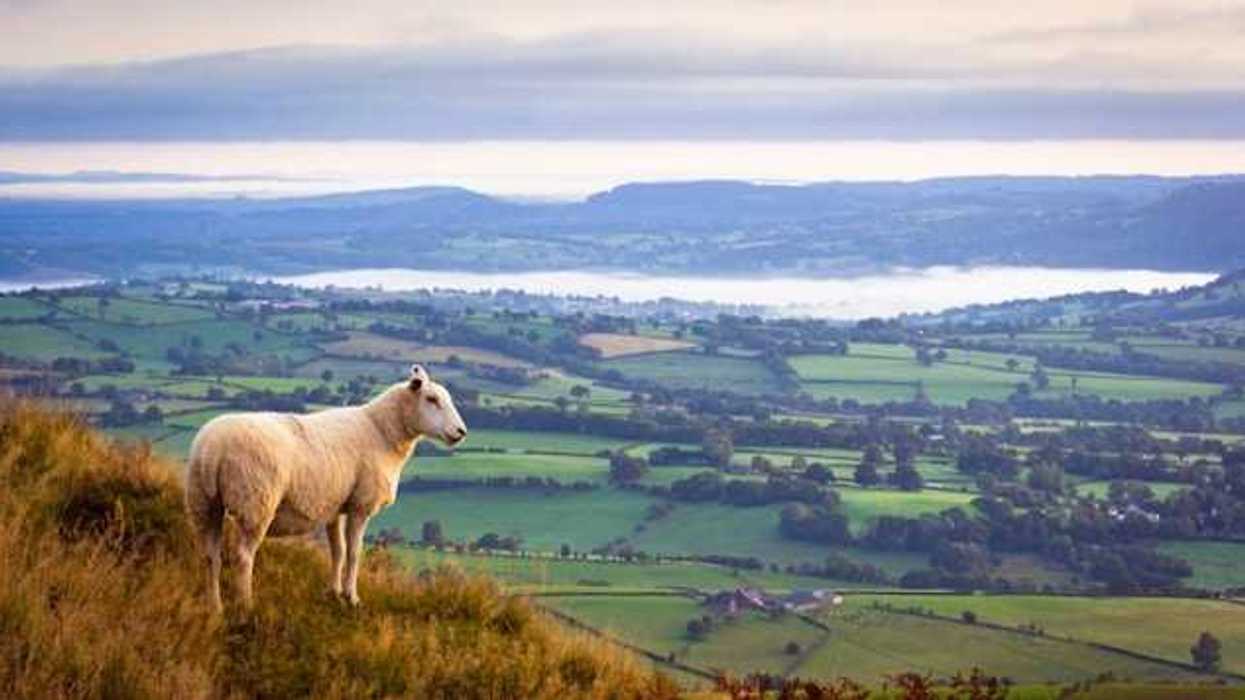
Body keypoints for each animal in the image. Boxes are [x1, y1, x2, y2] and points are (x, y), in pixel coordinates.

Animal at [184, 364, 467, 611]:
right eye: (431, 399)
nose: (461, 431)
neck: (382, 431)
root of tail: (212, 449)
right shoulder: (360, 505)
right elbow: (354, 552)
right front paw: (352, 598)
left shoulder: (335, 506)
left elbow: (337, 551)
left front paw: (334, 593)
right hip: (255, 501)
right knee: (242, 556)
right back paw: (246, 606)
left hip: (204, 503)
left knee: (210, 556)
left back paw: (215, 607)